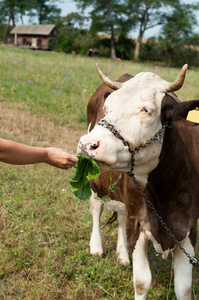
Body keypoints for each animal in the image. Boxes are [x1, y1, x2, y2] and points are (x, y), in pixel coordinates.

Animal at [77, 63, 199, 300]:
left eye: (146, 110)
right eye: (107, 108)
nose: (87, 144)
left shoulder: (189, 229)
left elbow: (184, 288)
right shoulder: (138, 224)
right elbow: (142, 283)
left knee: (121, 216)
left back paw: (122, 255)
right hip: (95, 181)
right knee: (96, 206)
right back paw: (96, 247)